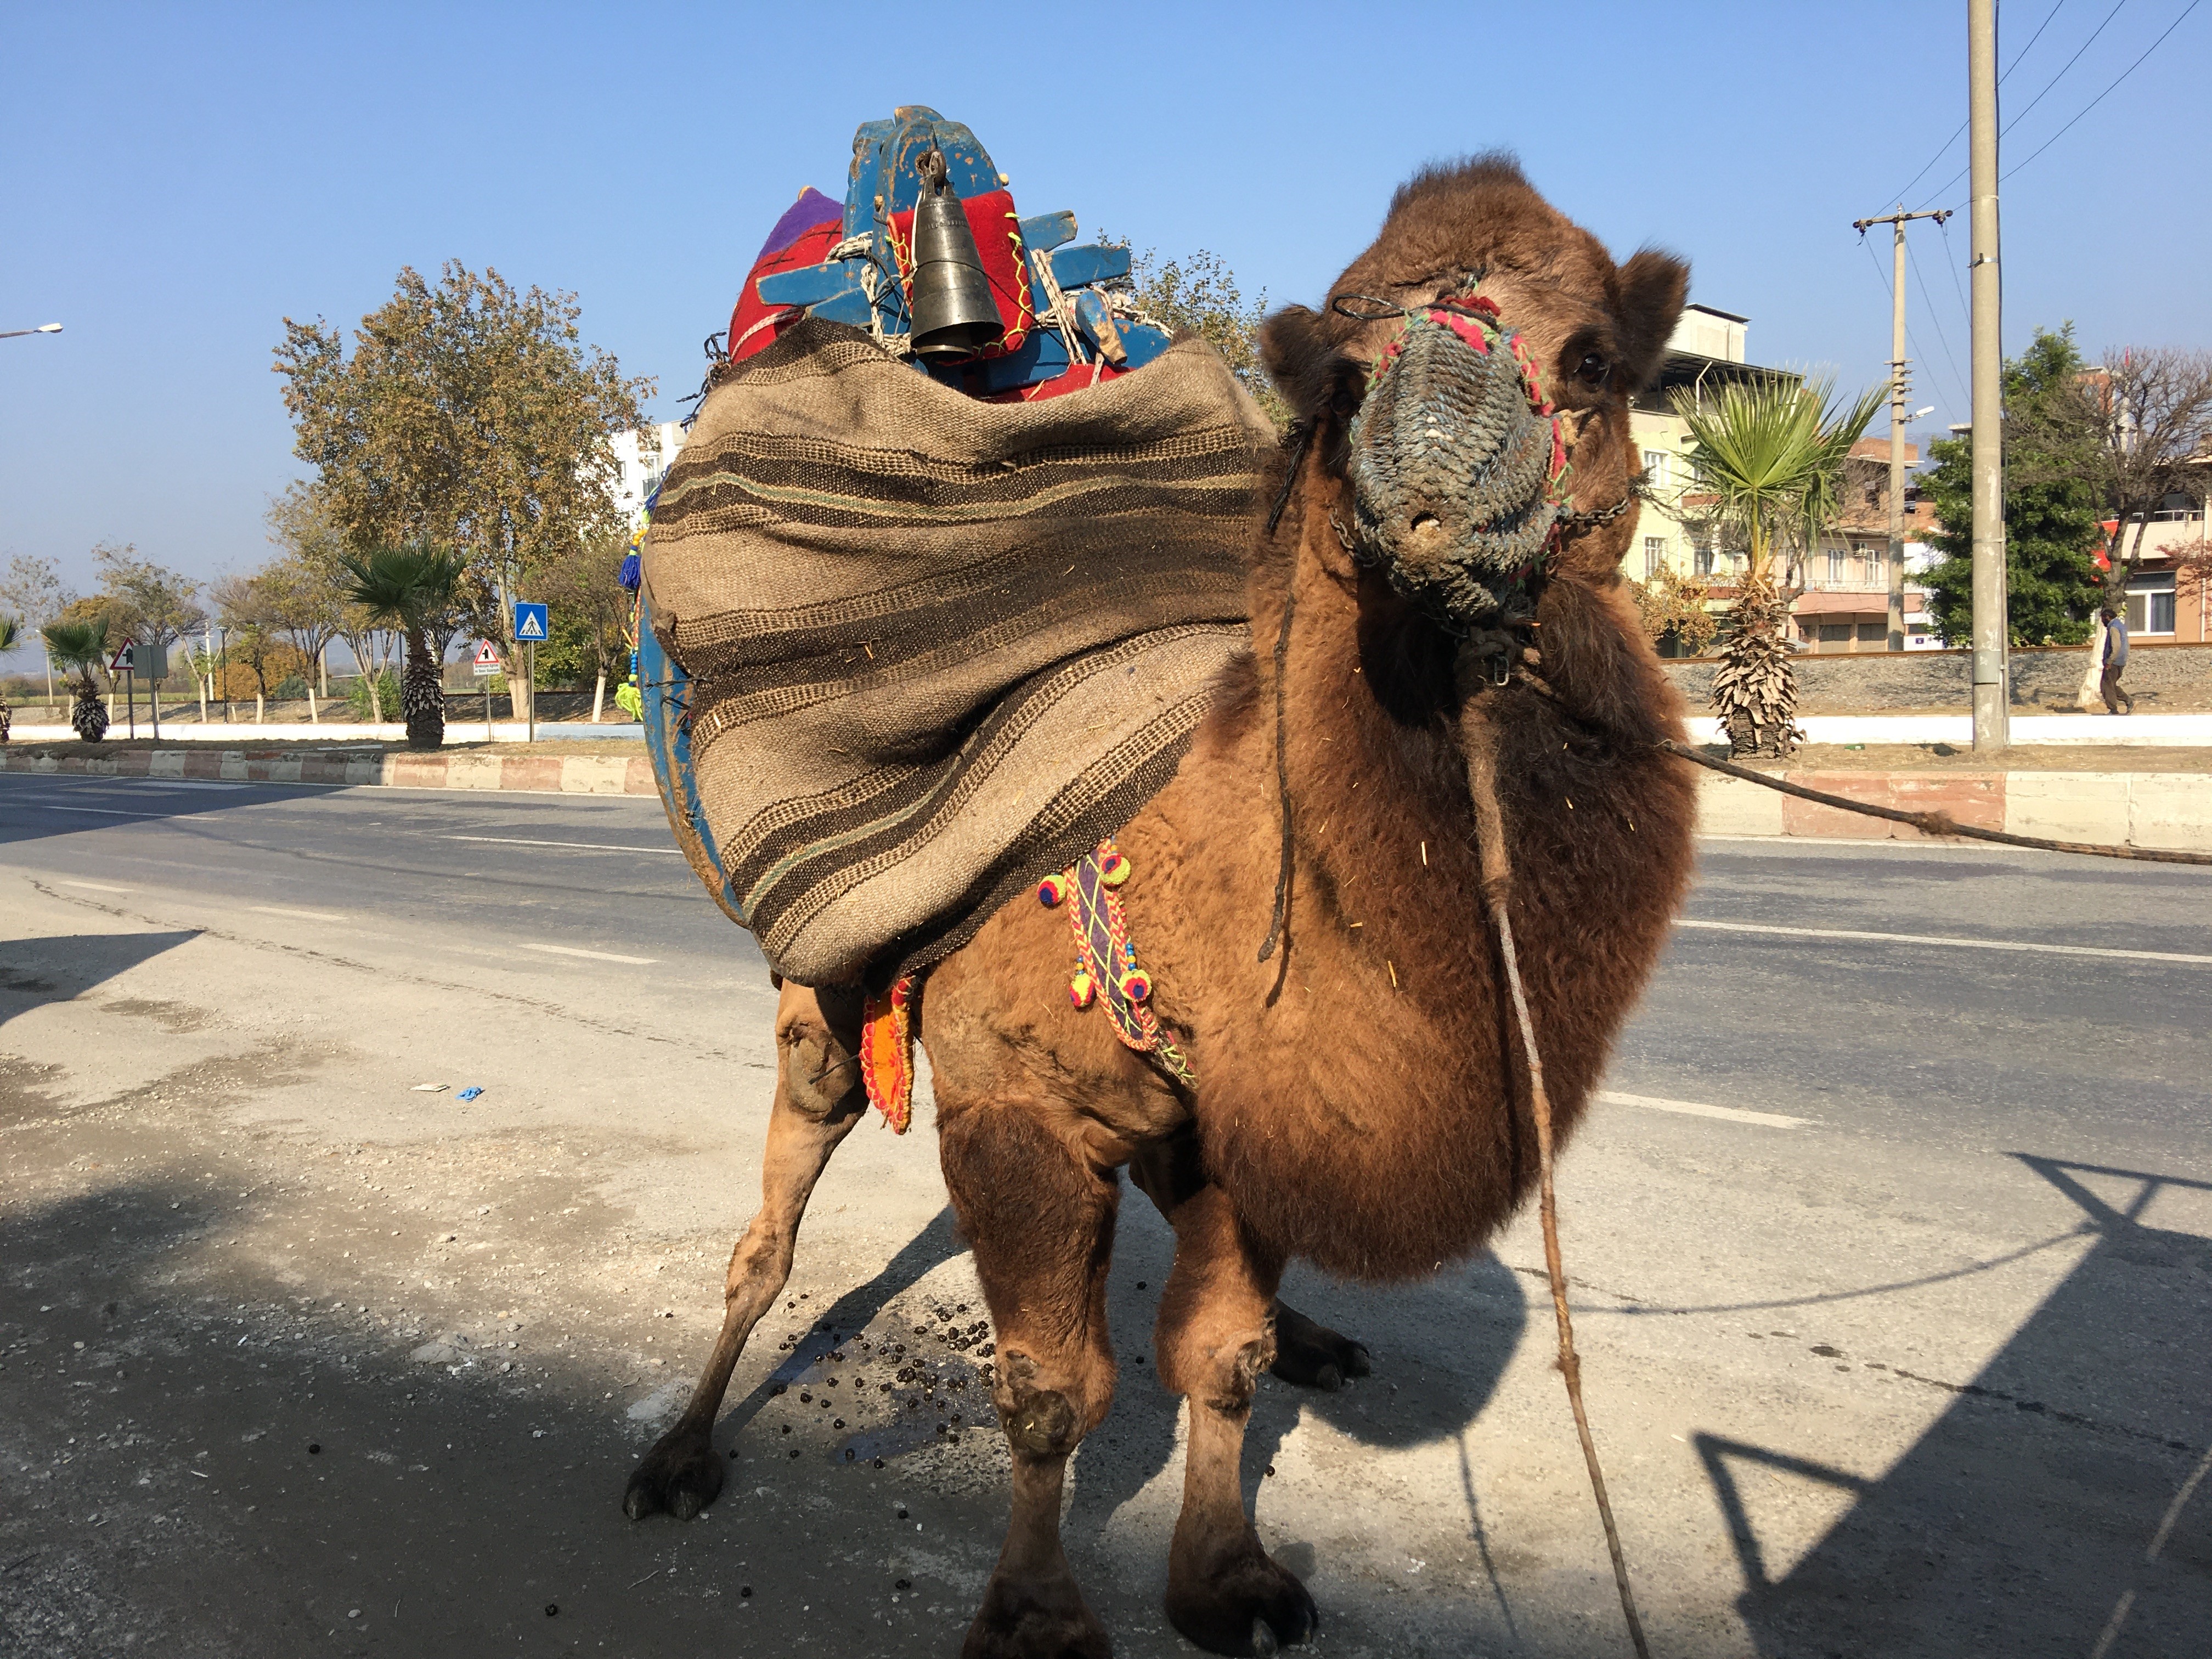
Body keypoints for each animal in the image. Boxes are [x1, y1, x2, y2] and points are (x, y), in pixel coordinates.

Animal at [633, 156, 1699, 1659]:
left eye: (1596, 359)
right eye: (1346, 381)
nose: (1429, 493)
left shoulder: (1244, 1109)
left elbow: (1221, 1356)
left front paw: (1227, 1579)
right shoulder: (1015, 1109)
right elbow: (1047, 1390)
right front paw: (1035, 1614)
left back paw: (1317, 1339)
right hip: (822, 1002)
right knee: (771, 1220)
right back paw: (678, 1453)